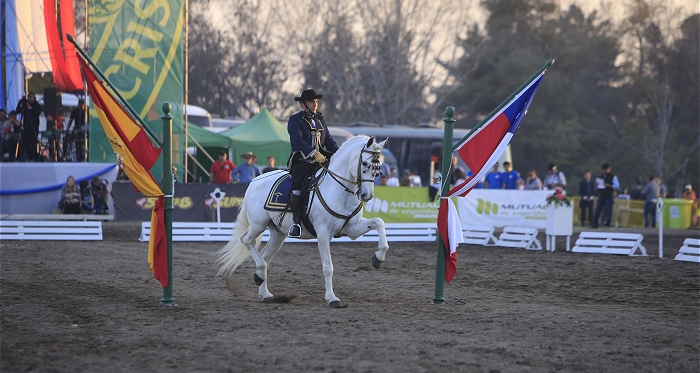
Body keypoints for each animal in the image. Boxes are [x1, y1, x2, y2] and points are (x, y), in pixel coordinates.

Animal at [215, 135, 388, 306]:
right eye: (365, 163)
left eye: (378, 167)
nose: (367, 196)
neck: (339, 190)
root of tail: (255, 180)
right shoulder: (323, 233)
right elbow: (328, 267)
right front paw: (332, 298)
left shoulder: (352, 229)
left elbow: (379, 222)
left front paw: (378, 259)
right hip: (258, 224)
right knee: (246, 240)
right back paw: (260, 275)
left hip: (278, 234)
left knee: (265, 257)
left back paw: (264, 289)